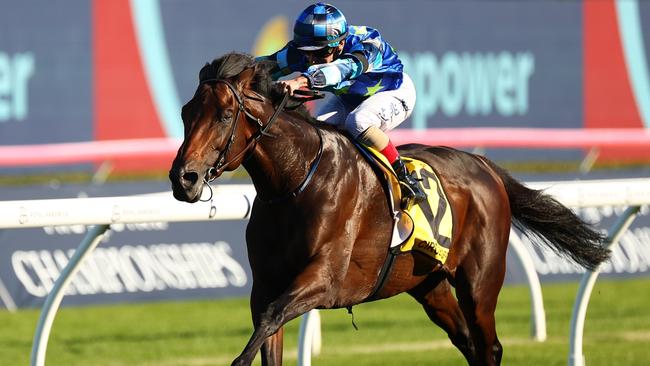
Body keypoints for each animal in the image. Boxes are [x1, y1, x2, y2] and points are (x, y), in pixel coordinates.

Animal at [168, 52, 608, 366]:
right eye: (186, 113)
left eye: (225, 115)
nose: (183, 178)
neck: (293, 184)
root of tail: (484, 165)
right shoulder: (265, 286)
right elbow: (267, 328)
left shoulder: (324, 279)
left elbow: (272, 319)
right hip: (428, 284)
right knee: (467, 343)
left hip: (480, 280)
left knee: (490, 348)